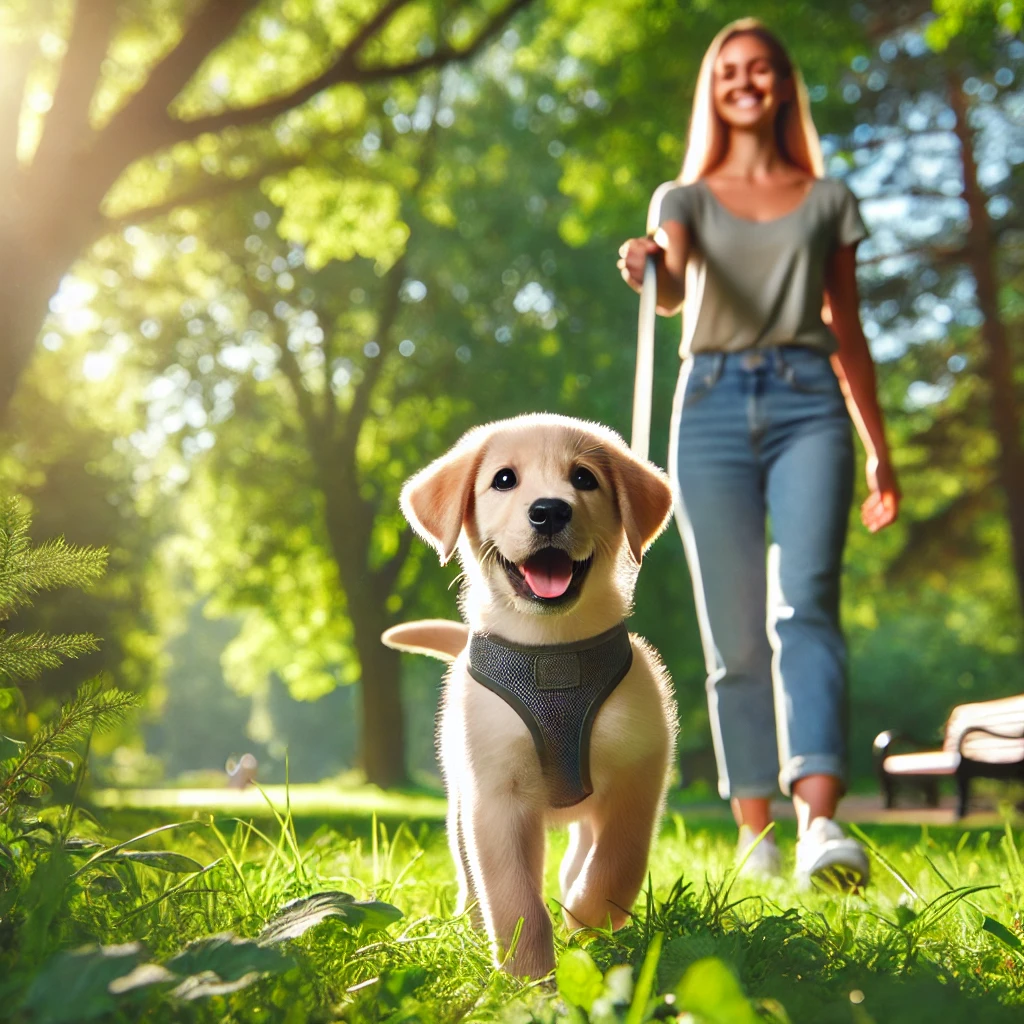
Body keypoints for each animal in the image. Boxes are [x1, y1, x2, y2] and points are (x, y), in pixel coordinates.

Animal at [380, 409, 675, 974]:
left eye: (584, 477)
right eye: (504, 479)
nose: (549, 511)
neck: (550, 651)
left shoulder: (638, 775)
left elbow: (617, 864)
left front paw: (586, 917)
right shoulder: (497, 797)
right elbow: (516, 902)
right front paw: (530, 979)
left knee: (582, 853)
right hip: (460, 808)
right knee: (472, 880)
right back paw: (472, 927)